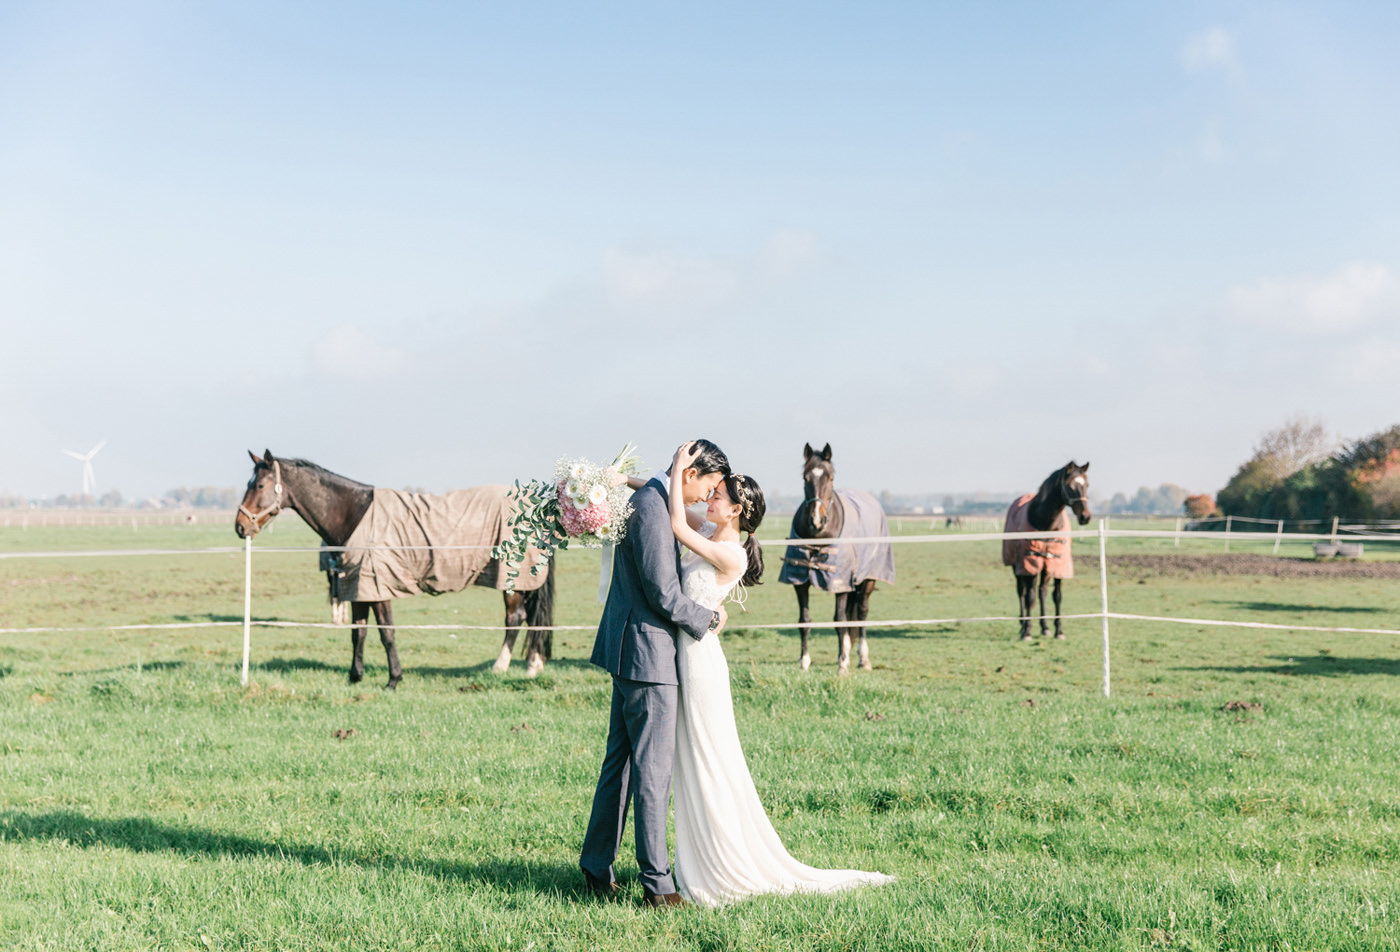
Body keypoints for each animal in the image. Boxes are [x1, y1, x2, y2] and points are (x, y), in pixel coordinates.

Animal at [233, 450, 551, 688]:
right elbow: (358, 633)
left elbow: (387, 633)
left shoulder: (378, 587)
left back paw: (503, 667)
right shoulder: (358, 587)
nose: (240, 526)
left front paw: (393, 679)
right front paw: (354, 677)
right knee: (533, 618)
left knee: (516, 618)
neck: (354, 514)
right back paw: (533, 666)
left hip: (512, 582)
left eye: (258, 486)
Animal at [778, 445, 896, 677]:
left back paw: (862, 658)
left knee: (862, 612)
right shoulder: (800, 582)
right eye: (805, 477)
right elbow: (804, 620)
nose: (816, 521)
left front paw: (842, 664)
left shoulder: (839, 583)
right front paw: (804, 661)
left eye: (830, 478)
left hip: (867, 580)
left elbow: (840, 620)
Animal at [1008, 462, 1092, 638]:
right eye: (1070, 486)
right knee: (1022, 592)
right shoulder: (1030, 563)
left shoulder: (1057, 563)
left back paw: (1044, 626)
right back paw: (1022, 625)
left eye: (1087, 485)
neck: (1046, 524)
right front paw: (1027, 631)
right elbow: (1029, 596)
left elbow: (1056, 596)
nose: (1085, 517)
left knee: (1042, 592)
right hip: (1016, 566)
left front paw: (1058, 630)